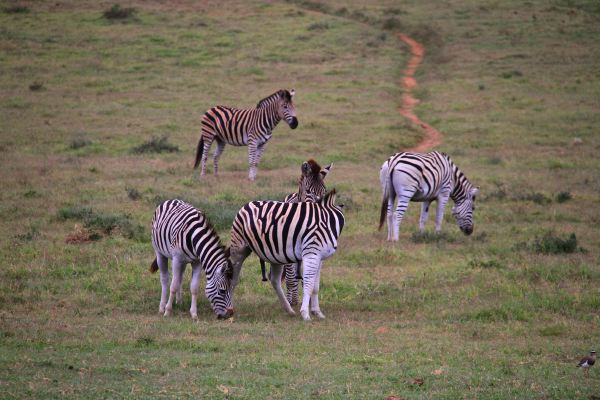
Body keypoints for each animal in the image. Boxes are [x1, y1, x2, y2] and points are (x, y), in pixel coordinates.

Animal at [230, 189, 344, 320]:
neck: (328, 222)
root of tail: (248, 204)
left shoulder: (320, 258)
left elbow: (316, 287)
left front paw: (317, 312)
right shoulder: (311, 253)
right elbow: (309, 285)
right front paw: (305, 314)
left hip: (275, 255)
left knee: (274, 280)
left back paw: (289, 309)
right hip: (239, 248)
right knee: (232, 277)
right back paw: (228, 308)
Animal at [256, 159, 332, 306]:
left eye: (325, 191)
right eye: (308, 191)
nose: (321, 210)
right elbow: (291, 279)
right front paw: (292, 302)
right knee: (291, 277)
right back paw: (292, 299)